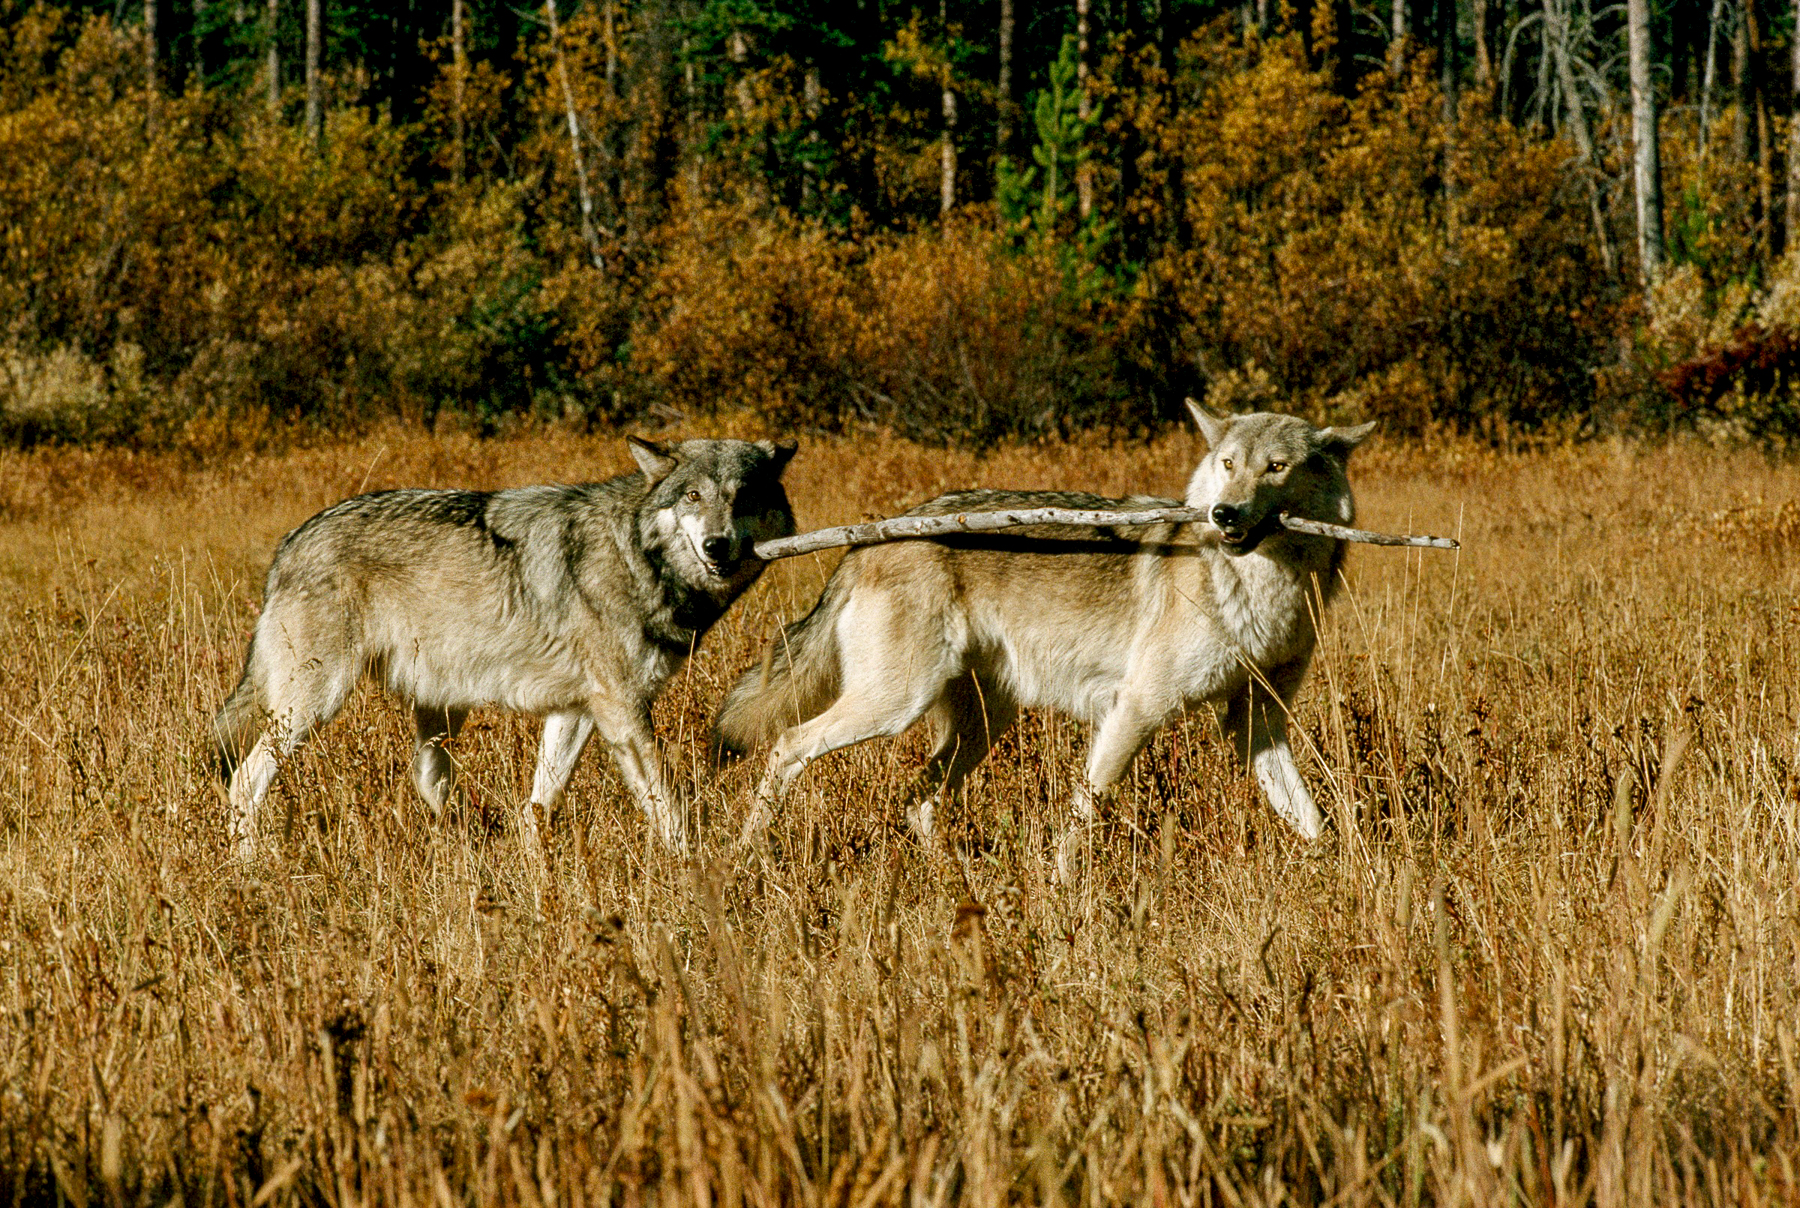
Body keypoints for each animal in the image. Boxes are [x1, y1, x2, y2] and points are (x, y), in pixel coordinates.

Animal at [214, 436, 796, 858]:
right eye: (693, 496)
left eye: (743, 497)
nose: (716, 545)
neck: (636, 555)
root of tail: (290, 543)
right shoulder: (622, 710)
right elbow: (667, 807)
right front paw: (694, 871)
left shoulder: (577, 711)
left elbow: (540, 806)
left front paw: (536, 872)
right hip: (313, 705)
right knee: (244, 781)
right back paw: (250, 868)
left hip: (439, 717)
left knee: (428, 785)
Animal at [712, 404, 1374, 854]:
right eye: (1229, 464)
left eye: (1277, 467)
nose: (1224, 514)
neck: (1262, 587)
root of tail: (869, 538)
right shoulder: (1136, 709)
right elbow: (1083, 819)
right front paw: (1063, 898)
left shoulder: (1255, 724)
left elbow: (1315, 820)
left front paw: (1343, 876)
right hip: (895, 704)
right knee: (788, 744)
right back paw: (746, 854)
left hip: (978, 724)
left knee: (919, 799)